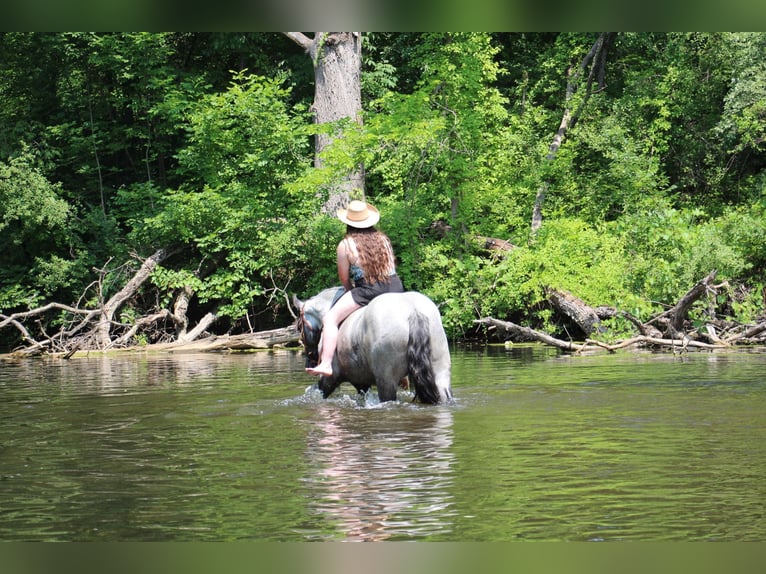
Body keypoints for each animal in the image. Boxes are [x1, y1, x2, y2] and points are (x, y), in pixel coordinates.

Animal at [296, 288, 452, 404]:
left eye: (299, 326)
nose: (309, 361)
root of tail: (413, 311)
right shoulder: (360, 380)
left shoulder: (332, 377)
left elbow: (319, 391)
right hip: (440, 374)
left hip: (386, 381)